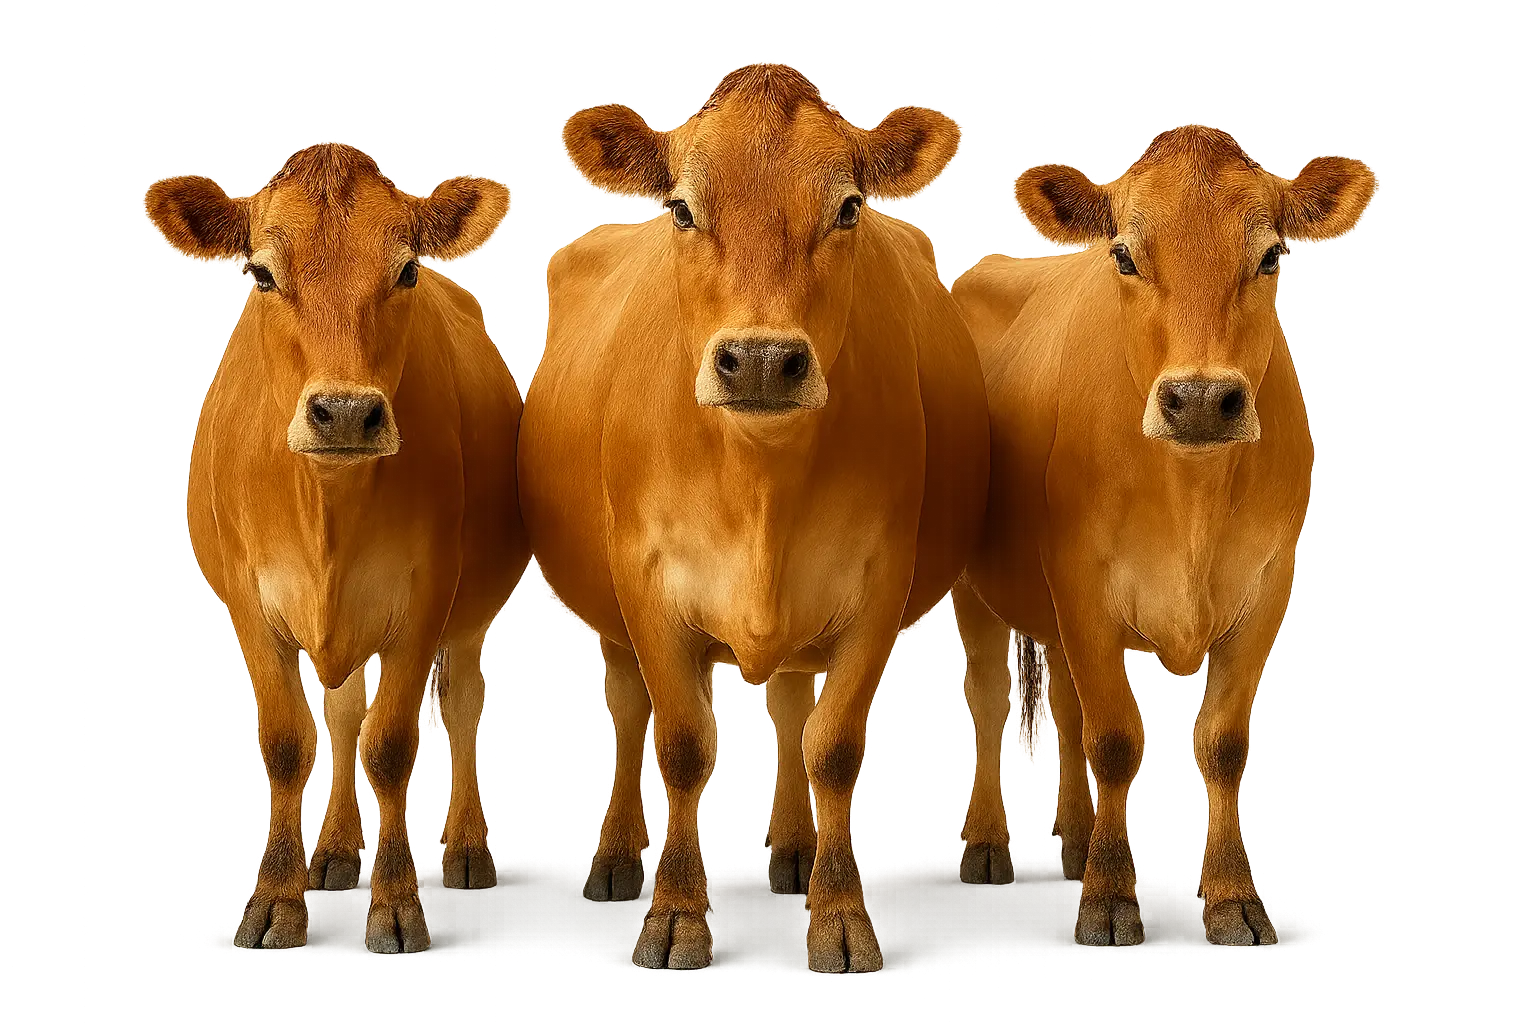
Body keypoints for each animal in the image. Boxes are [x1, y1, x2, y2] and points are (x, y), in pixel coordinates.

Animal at [140, 140, 527, 954]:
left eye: (405, 269)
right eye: (261, 272)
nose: (346, 412)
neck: (326, 506)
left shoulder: (423, 604)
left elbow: (391, 746)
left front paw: (397, 906)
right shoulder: (249, 606)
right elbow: (291, 742)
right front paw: (274, 902)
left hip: (470, 614)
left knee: (463, 705)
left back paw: (467, 851)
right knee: (345, 714)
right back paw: (337, 853)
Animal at [519, 61, 990, 972]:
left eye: (848, 208)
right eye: (681, 208)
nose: (765, 360)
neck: (761, 483)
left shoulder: (879, 583)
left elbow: (831, 748)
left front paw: (837, 914)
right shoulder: (647, 583)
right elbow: (680, 744)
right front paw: (676, 914)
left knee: (793, 706)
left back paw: (796, 851)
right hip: (612, 616)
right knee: (628, 711)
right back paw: (618, 858)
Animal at [947, 122, 1380, 945]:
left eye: (1270, 255)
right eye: (1124, 254)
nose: (1202, 400)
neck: (1192, 501)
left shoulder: (1268, 588)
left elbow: (1221, 742)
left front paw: (1233, 899)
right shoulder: (1083, 584)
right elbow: (1116, 741)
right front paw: (1111, 899)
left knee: (1070, 708)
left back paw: (1075, 844)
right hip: (977, 593)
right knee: (989, 702)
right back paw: (989, 848)